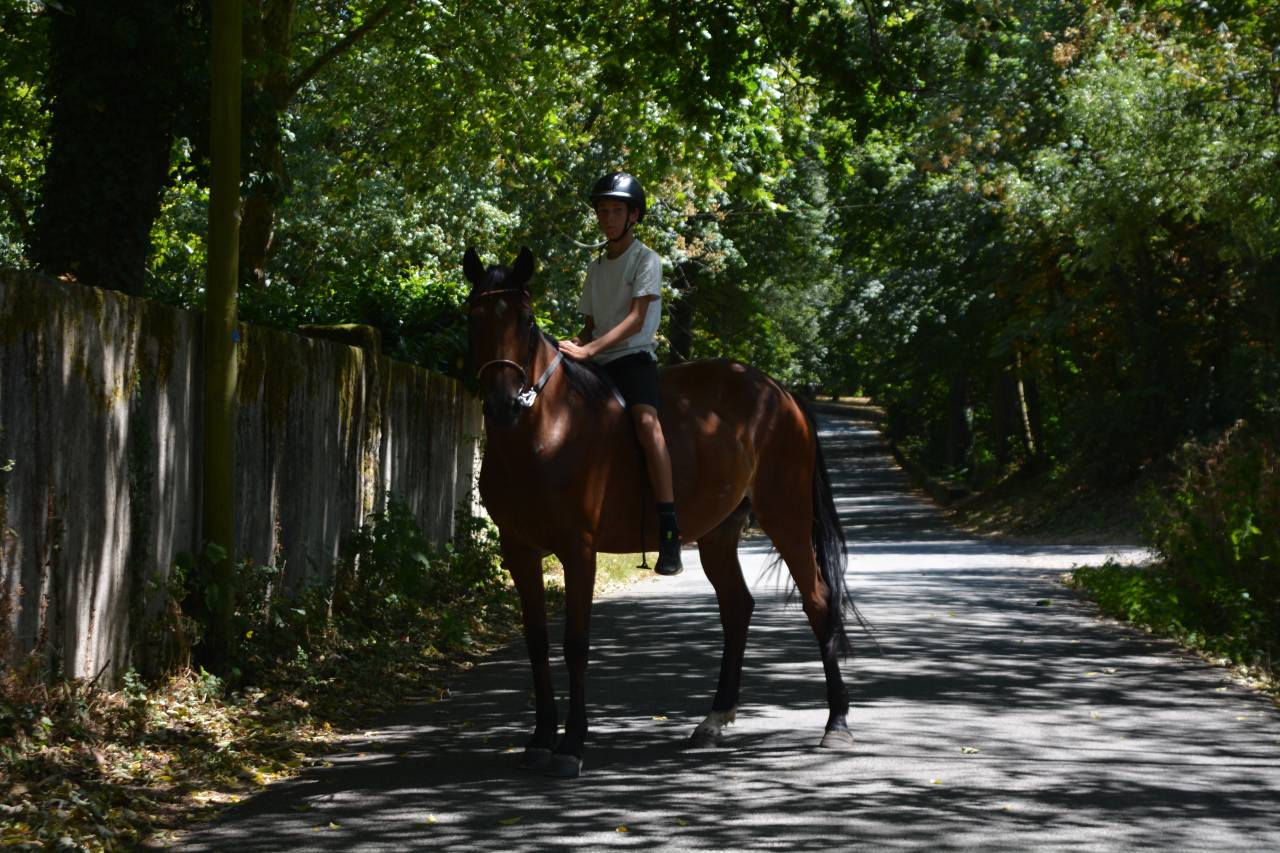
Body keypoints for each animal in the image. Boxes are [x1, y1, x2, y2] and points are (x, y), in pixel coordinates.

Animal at [463, 246, 861, 779]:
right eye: (474, 318)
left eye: (526, 322)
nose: (504, 405)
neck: (546, 430)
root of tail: (780, 391)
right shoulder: (520, 551)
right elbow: (537, 642)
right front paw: (541, 738)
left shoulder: (578, 551)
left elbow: (575, 644)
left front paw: (572, 744)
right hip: (719, 533)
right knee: (737, 607)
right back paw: (714, 720)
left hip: (787, 518)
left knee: (817, 601)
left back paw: (836, 723)